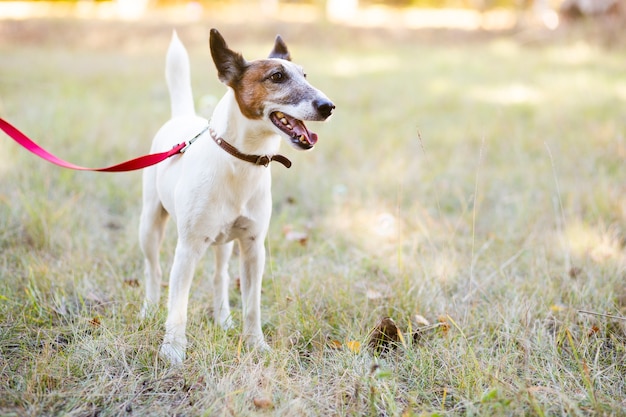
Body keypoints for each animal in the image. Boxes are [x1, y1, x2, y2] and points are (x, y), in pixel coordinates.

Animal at [139, 29, 334, 362]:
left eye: (305, 75)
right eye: (277, 76)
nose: (328, 106)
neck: (242, 161)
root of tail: (183, 116)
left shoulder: (253, 248)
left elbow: (251, 305)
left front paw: (255, 343)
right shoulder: (187, 248)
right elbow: (178, 306)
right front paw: (173, 348)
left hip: (224, 242)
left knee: (220, 276)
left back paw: (223, 318)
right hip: (150, 224)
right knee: (153, 270)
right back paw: (149, 308)